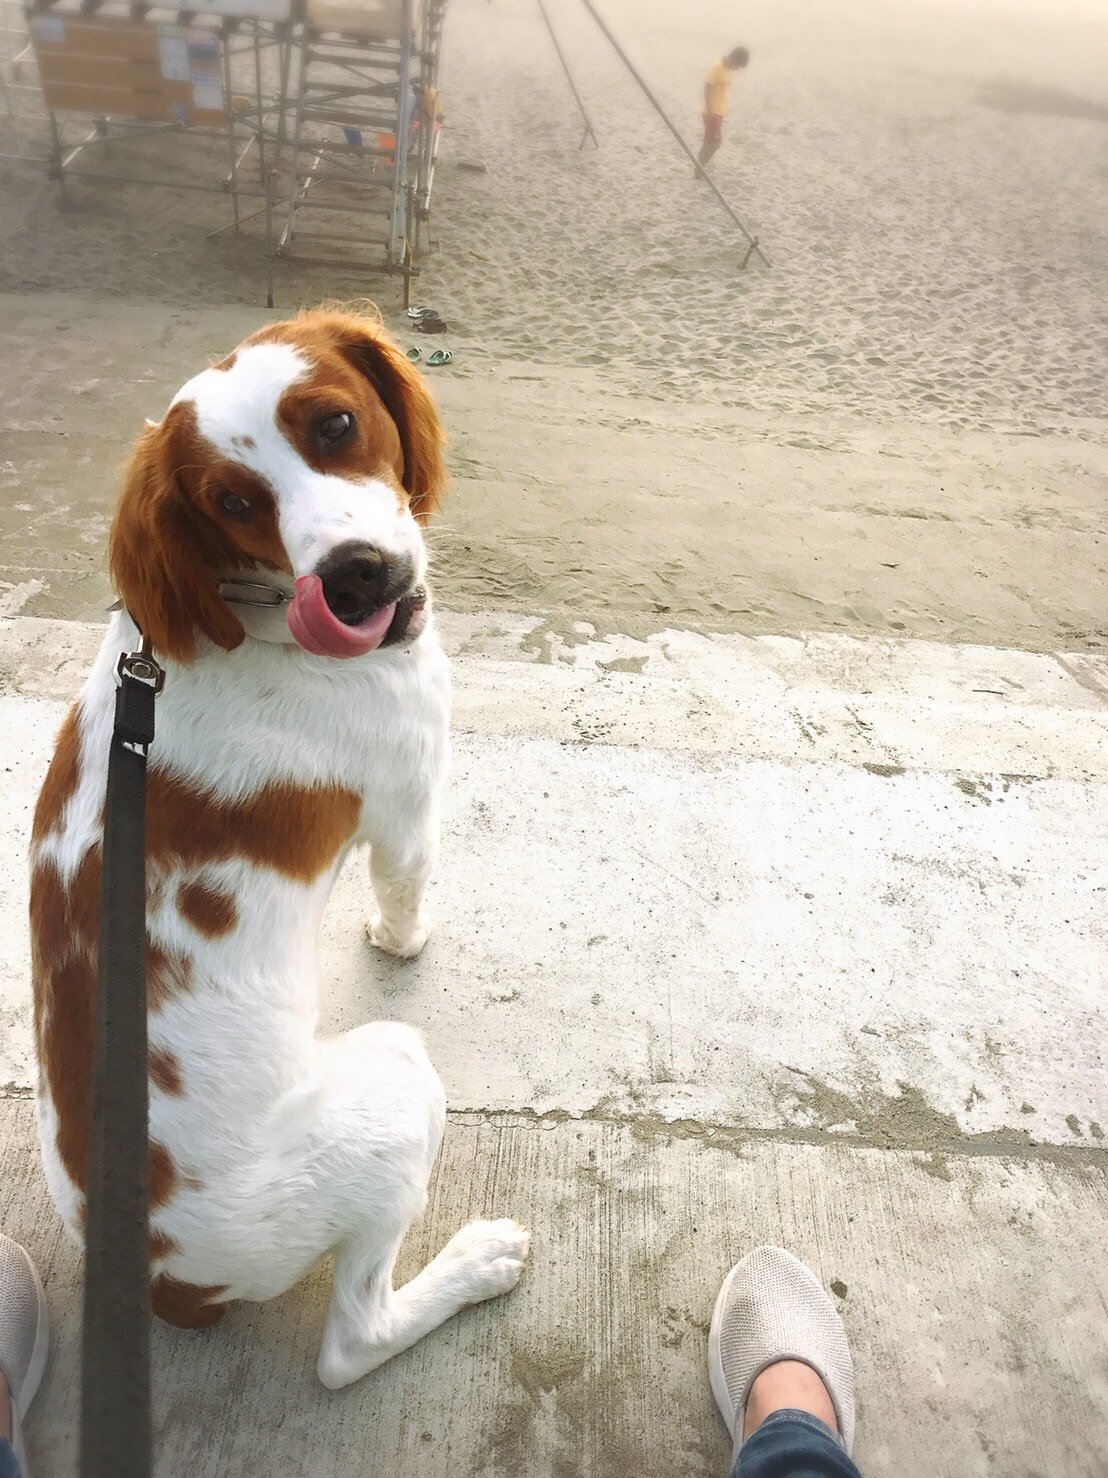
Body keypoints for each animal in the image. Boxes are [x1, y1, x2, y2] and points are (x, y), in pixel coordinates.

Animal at [27, 308, 528, 1383]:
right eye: (232, 501)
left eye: (336, 423)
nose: (354, 576)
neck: (241, 623)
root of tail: (166, 1287)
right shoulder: (408, 796)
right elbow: (406, 887)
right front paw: (401, 942)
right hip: (391, 1084)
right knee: (350, 1343)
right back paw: (472, 1265)